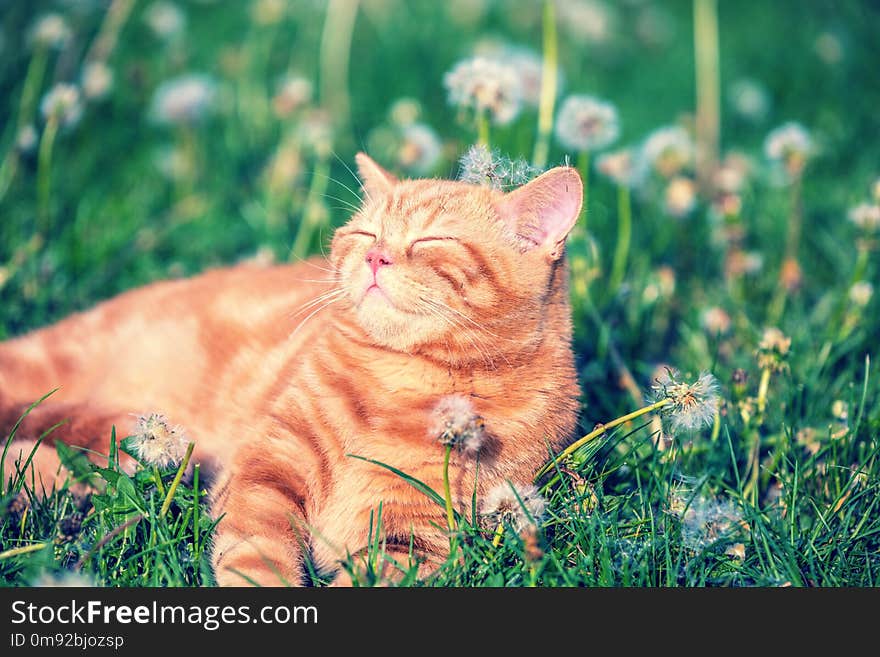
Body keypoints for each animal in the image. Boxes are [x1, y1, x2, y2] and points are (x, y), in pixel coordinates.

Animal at [1, 154, 584, 584]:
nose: (376, 259)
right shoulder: (265, 470)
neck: (403, 383)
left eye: (431, 240)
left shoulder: (417, 535)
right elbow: (257, 553)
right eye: (366, 235)